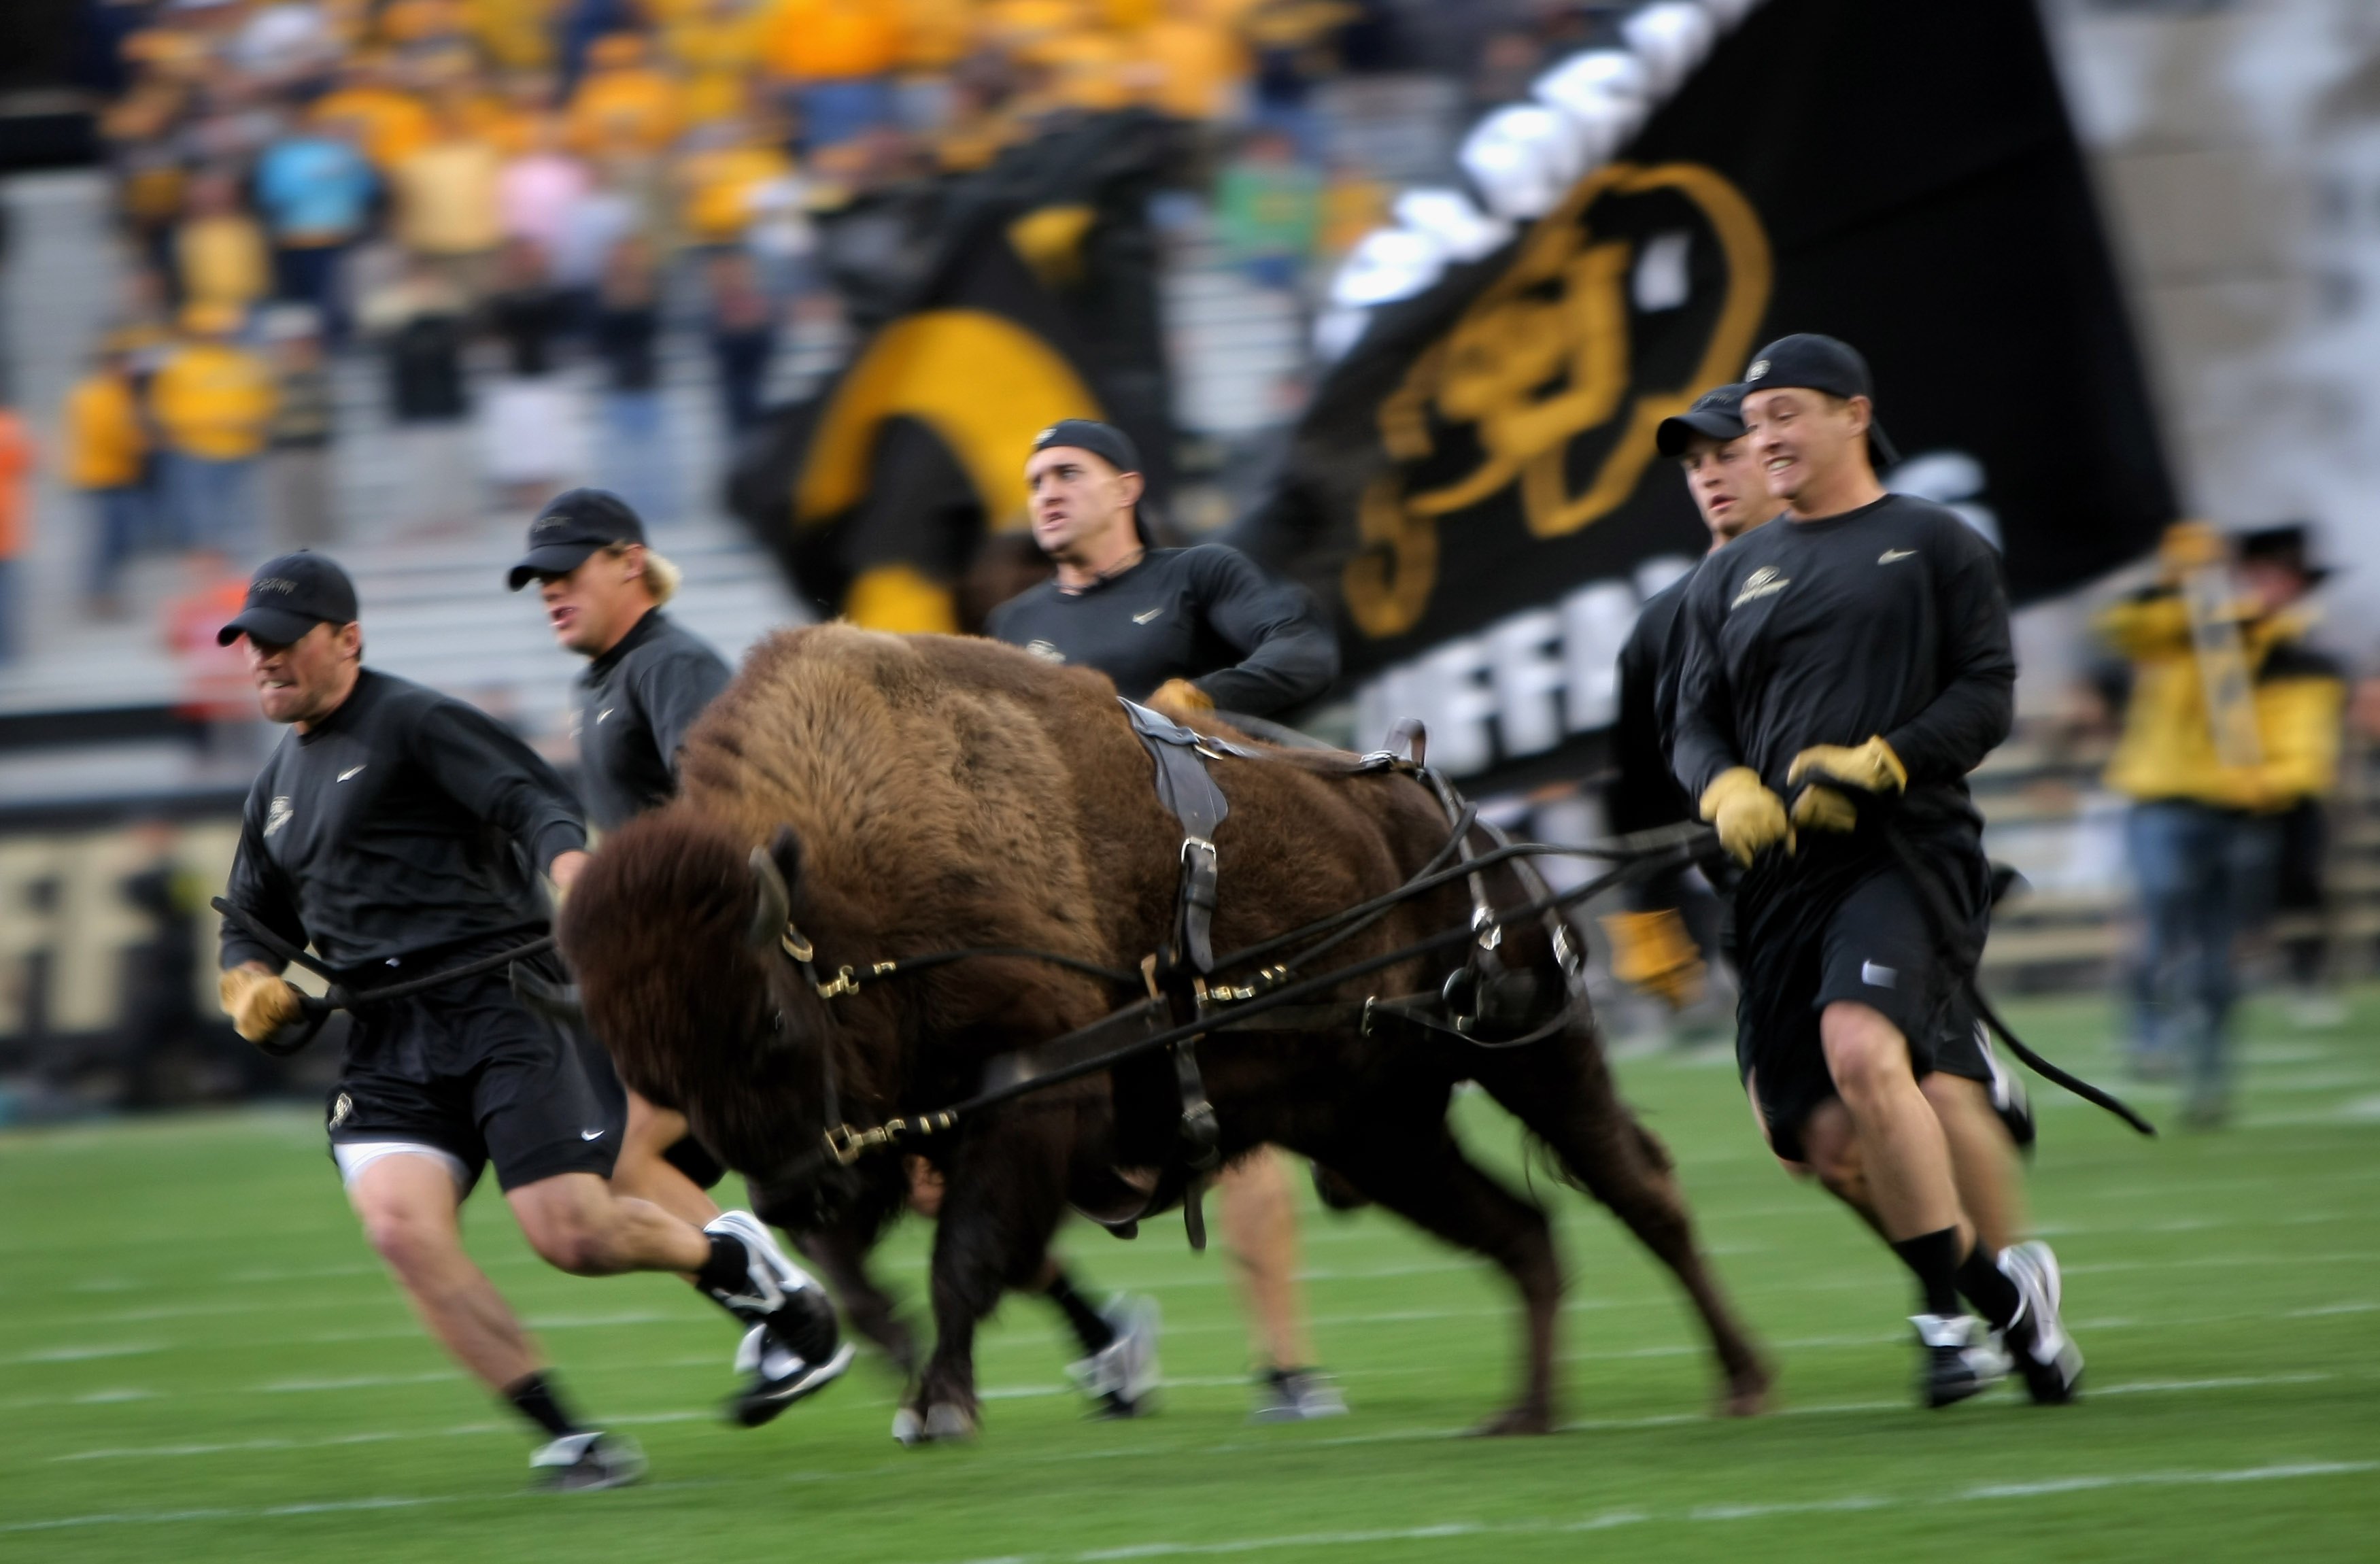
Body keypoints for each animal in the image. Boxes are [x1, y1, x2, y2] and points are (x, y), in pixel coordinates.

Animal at [562, 624, 1771, 1438]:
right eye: (645, 1067)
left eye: (769, 1018)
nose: (792, 1192)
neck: (852, 856)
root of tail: (1462, 813)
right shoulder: (886, 1142)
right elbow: (879, 1278)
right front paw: (887, 1366)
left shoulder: (1030, 1094)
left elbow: (969, 1259)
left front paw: (939, 1406)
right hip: (1376, 1129)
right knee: (1523, 1231)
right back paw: (1526, 1413)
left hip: (1534, 1050)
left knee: (1641, 1191)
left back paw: (1741, 1381)